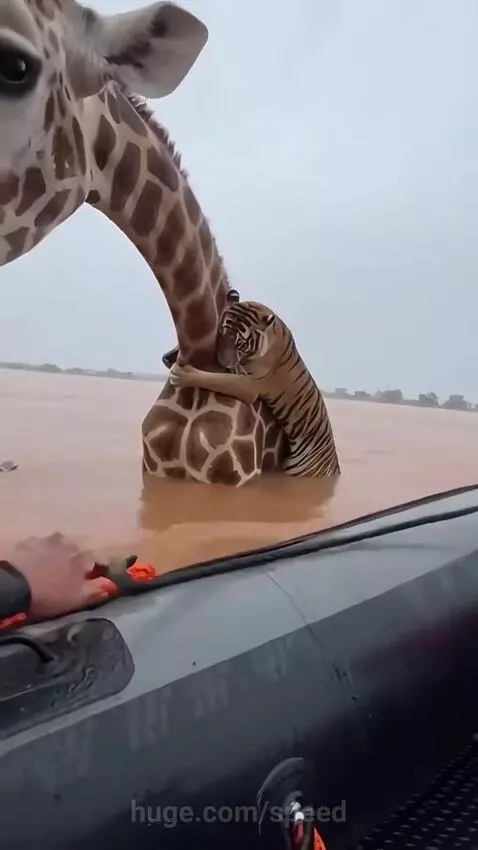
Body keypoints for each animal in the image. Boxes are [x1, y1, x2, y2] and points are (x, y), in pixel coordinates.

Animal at [169, 300, 340, 477]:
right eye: (222, 335)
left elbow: (217, 379)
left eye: (241, 343)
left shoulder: (249, 384)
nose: (223, 362)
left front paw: (181, 374)